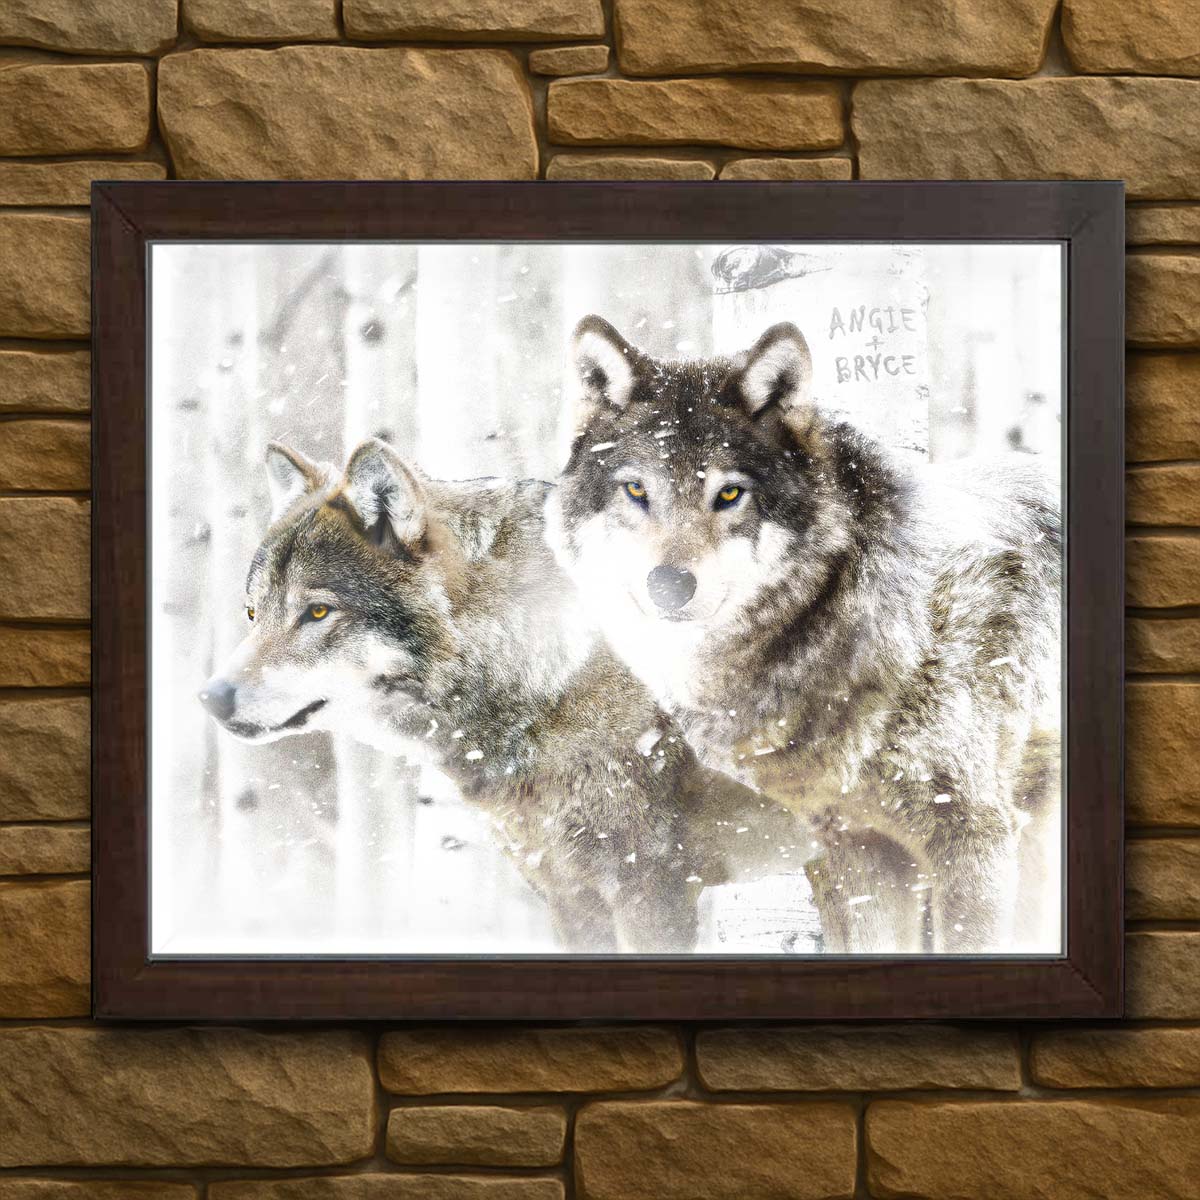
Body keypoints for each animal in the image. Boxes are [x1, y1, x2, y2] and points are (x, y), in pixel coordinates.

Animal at [198, 437, 804, 954]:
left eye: (318, 612)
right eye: (252, 613)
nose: (210, 698)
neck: (549, 675)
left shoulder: (654, 883)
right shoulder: (567, 892)